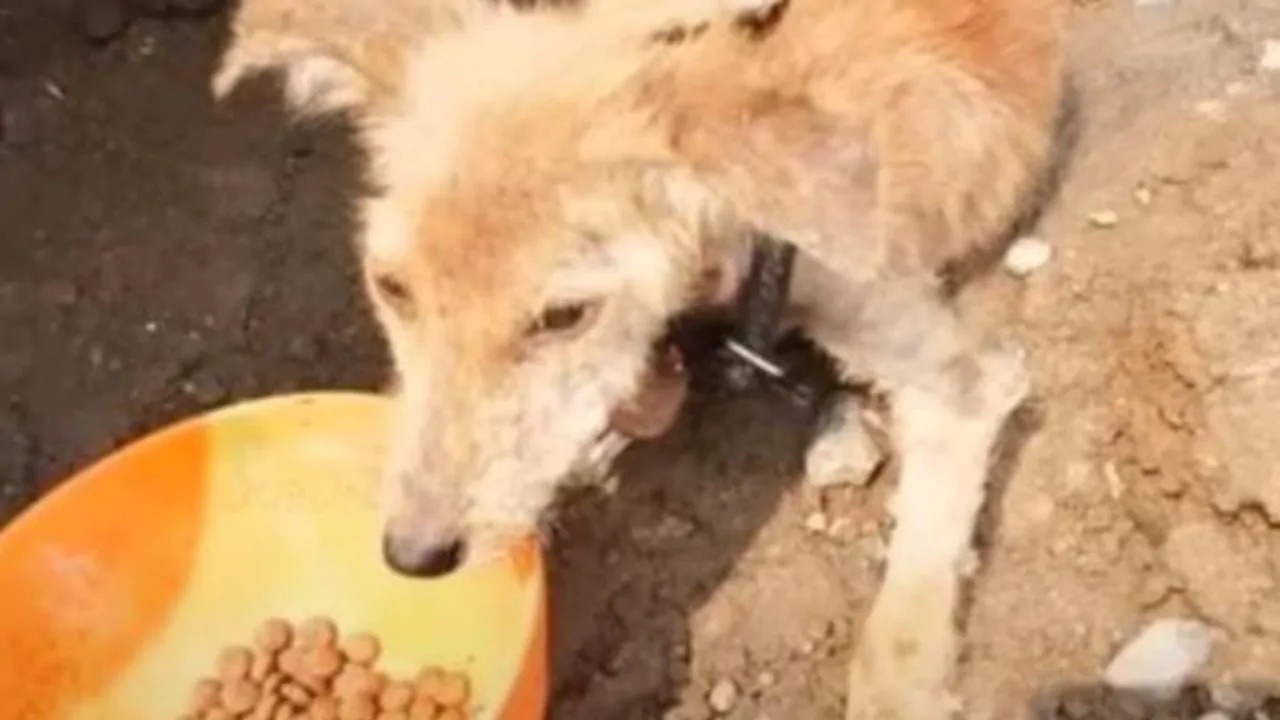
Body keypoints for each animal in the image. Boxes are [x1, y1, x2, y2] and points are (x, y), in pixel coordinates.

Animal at [215, 2, 1064, 712]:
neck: (747, 231)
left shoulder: (958, 377)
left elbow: (907, 607)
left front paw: (904, 687)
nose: (413, 555)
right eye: (391, 286)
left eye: (564, 315)